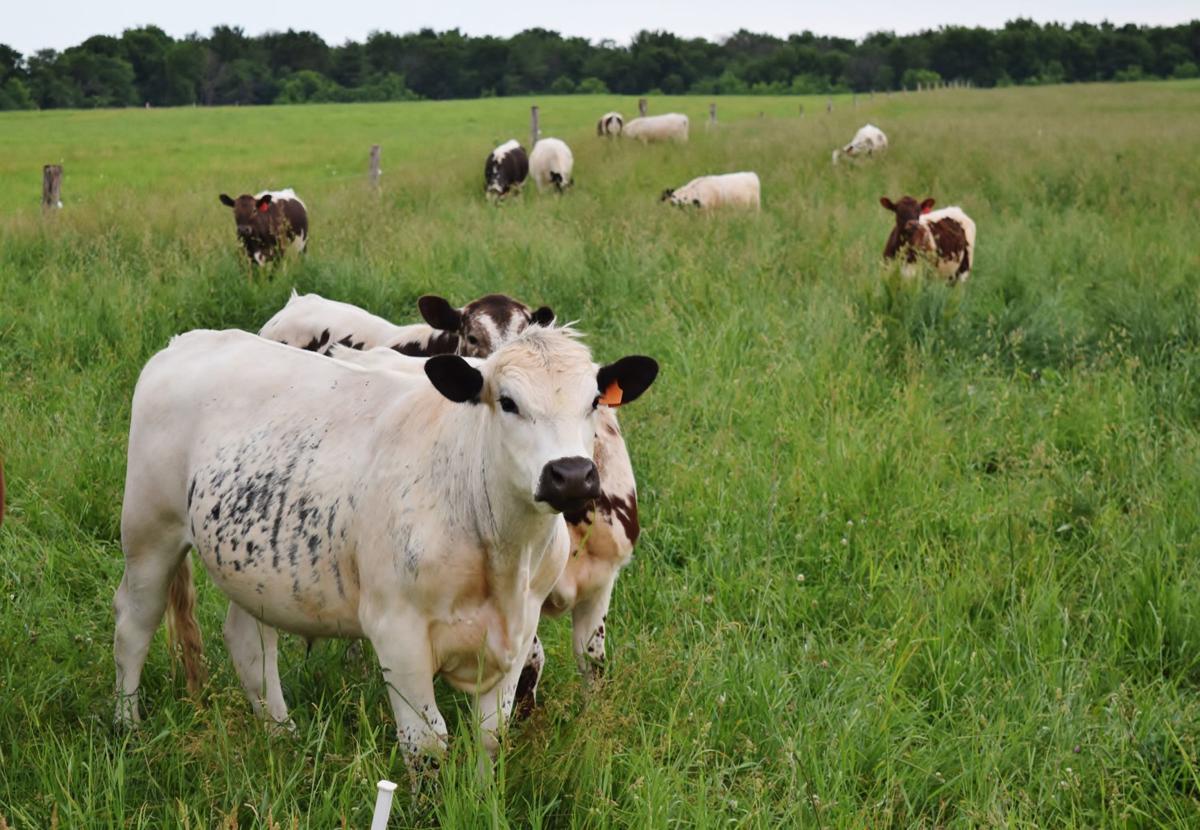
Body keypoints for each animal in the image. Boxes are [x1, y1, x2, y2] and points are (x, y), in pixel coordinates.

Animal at [112, 325, 658, 780]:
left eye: (594, 401)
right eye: (507, 401)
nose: (572, 474)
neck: (502, 554)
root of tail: (189, 340)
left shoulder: (519, 631)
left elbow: (490, 737)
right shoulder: (398, 633)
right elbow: (427, 742)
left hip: (253, 567)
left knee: (250, 642)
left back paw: (283, 736)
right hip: (149, 532)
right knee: (134, 626)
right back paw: (128, 728)